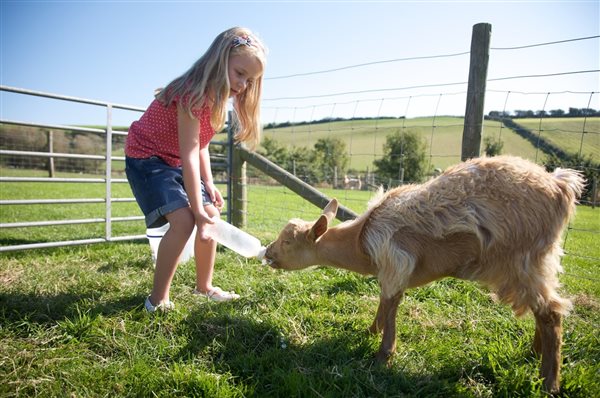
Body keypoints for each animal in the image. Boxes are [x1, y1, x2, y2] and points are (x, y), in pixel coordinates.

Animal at [264, 155, 584, 392]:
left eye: (288, 242)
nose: (267, 253)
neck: (361, 240)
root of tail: (560, 186)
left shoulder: (396, 261)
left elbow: (391, 305)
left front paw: (382, 357)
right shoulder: (390, 269)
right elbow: (383, 303)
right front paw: (370, 331)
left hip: (524, 259)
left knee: (551, 312)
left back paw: (549, 383)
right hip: (539, 261)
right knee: (542, 310)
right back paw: (535, 353)